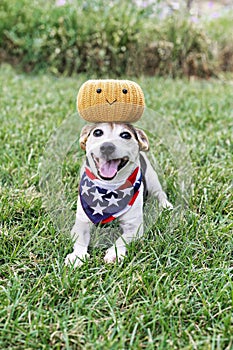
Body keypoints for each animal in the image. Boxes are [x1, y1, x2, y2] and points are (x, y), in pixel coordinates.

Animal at [64, 121, 172, 266]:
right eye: (97, 132)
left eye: (126, 135)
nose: (107, 147)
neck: (109, 188)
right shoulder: (82, 221)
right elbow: (80, 237)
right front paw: (77, 256)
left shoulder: (134, 227)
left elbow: (122, 239)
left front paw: (114, 253)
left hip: (152, 178)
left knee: (160, 193)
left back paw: (166, 205)